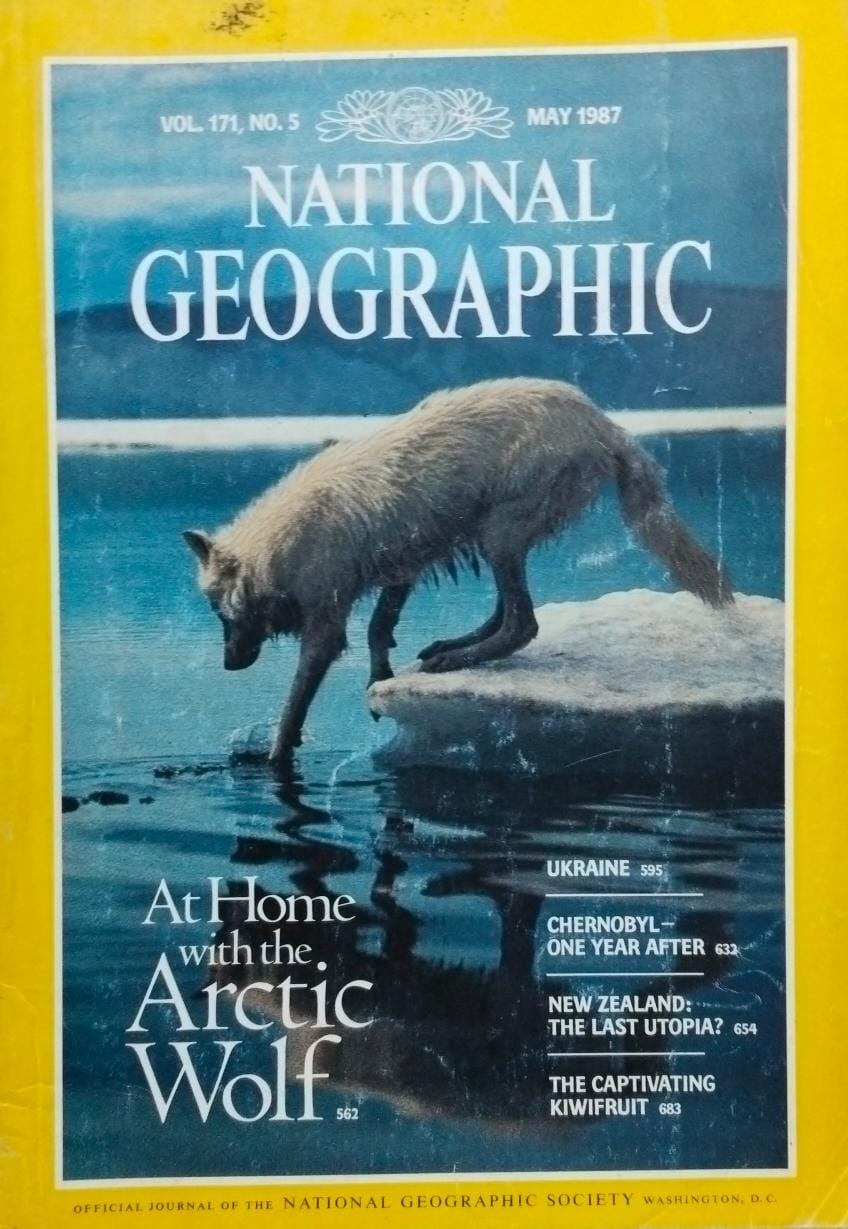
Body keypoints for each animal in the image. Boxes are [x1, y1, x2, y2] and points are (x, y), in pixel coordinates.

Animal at [184, 377, 731, 767]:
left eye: (220, 612)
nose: (229, 665)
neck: (284, 547)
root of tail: (604, 423)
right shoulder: (398, 569)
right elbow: (380, 629)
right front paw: (379, 681)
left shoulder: (326, 623)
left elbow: (295, 702)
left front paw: (277, 756)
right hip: (493, 535)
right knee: (508, 612)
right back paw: (453, 647)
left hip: (500, 532)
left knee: (523, 622)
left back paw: (455, 658)